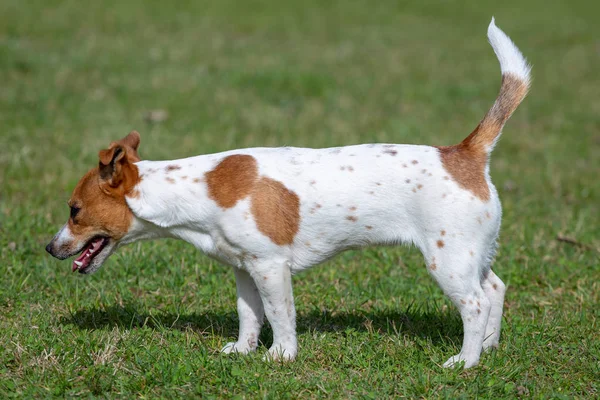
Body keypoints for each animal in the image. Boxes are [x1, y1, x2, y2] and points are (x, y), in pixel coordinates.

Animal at [49, 18, 532, 368]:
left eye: (74, 210)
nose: (50, 247)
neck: (192, 189)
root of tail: (464, 153)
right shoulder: (244, 271)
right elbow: (248, 315)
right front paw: (242, 351)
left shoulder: (270, 268)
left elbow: (279, 317)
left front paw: (280, 357)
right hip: (471, 255)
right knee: (494, 289)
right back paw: (488, 348)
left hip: (446, 262)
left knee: (474, 303)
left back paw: (465, 361)